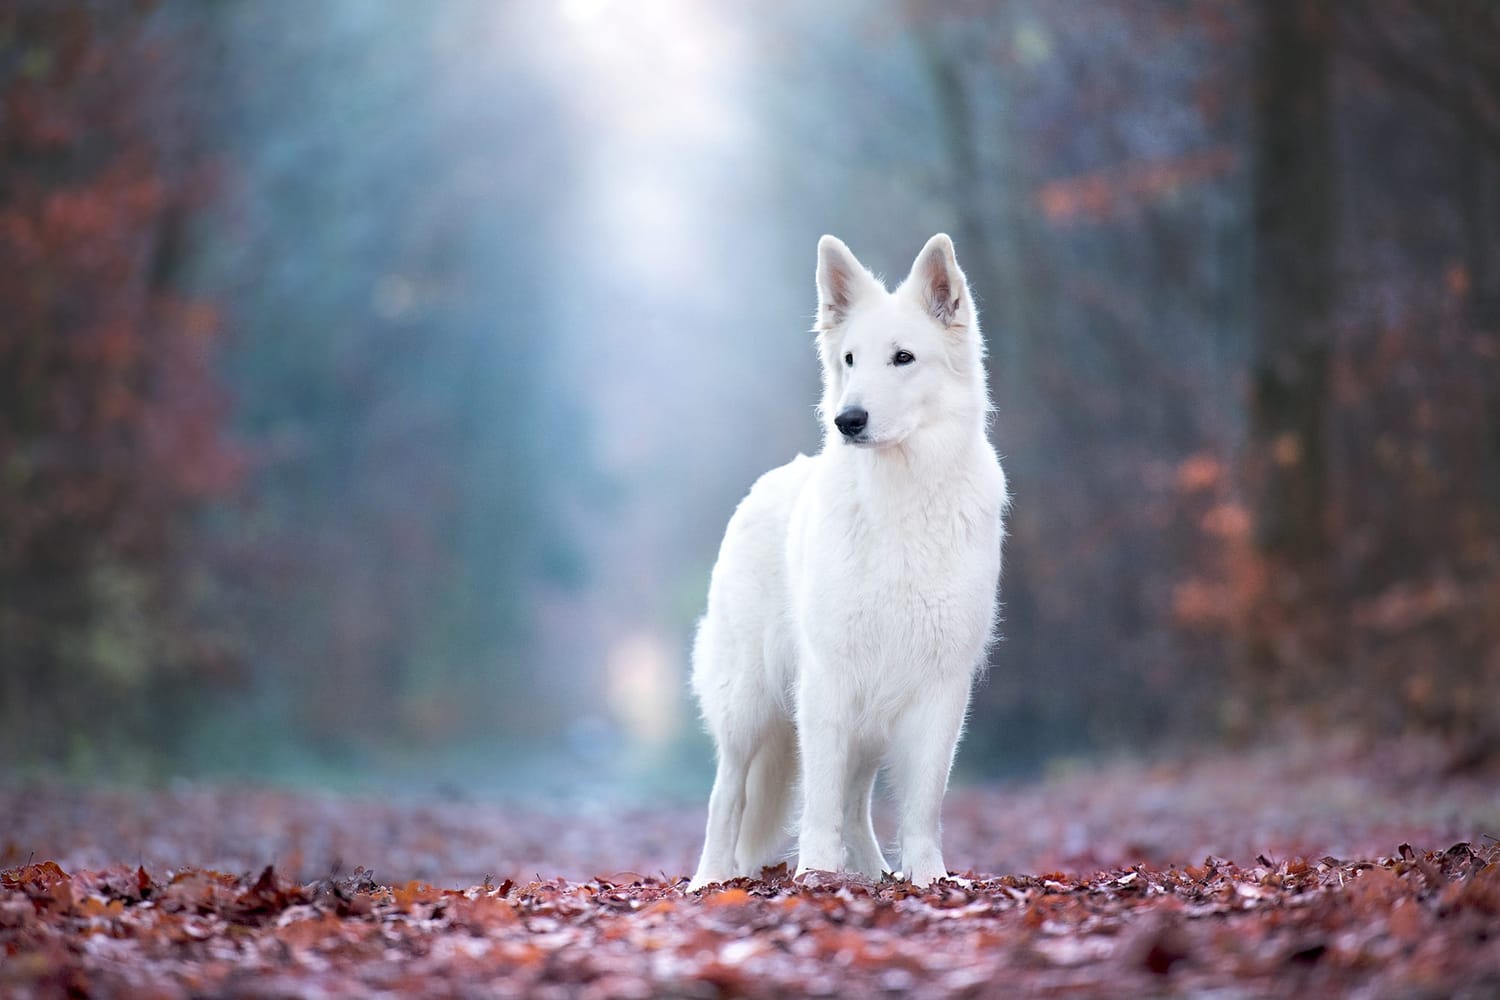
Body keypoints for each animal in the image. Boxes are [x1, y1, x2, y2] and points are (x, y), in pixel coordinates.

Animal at [690, 235, 1008, 893]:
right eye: (851, 360)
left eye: (903, 358)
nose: (848, 420)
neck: (901, 497)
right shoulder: (829, 681)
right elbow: (818, 800)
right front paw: (814, 875)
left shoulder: (940, 688)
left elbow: (922, 805)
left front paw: (928, 881)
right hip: (749, 703)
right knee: (727, 793)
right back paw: (707, 881)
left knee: (858, 805)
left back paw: (875, 875)